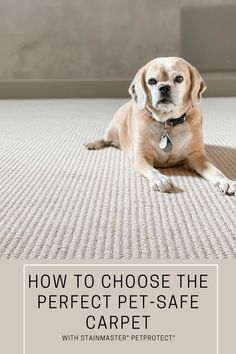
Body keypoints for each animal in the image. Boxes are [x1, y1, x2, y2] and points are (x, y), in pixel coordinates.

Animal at [86, 56, 236, 195]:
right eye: (151, 81)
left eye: (179, 78)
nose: (164, 87)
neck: (167, 122)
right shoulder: (141, 157)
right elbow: (151, 170)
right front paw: (160, 179)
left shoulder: (198, 156)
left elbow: (216, 172)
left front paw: (226, 181)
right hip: (112, 131)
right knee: (105, 140)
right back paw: (93, 144)